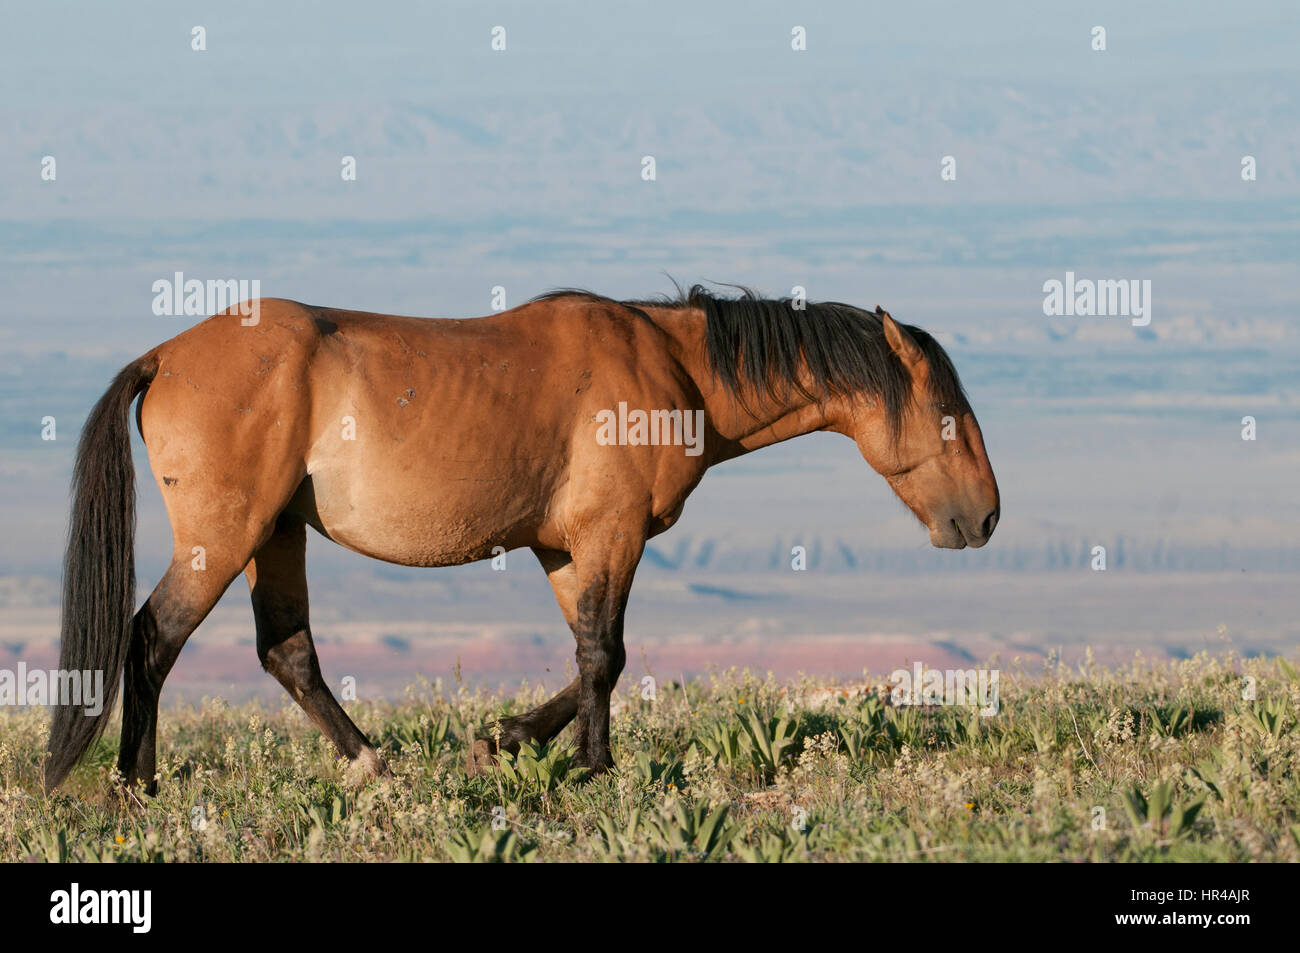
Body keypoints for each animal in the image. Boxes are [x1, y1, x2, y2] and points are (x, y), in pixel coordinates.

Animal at [38, 286, 993, 790]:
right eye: (947, 413)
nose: (983, 518)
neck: (670, 369)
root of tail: (165, 356)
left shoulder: (567, 548)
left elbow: (588, 657)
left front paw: (507, 738)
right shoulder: (612, 536)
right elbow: (605, 655)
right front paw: (592, 767)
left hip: (274, 534)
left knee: (287, 652)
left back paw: (372, 761)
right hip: (225, 536)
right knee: (152, 637)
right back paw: (136, 783)